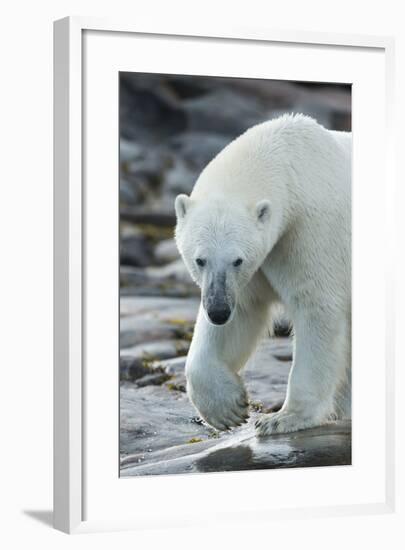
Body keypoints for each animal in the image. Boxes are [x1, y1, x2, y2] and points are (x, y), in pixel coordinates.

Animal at [174, 114, 350, 438]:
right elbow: (243, 312)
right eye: (200, 259)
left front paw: (282, 418)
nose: (217, 311)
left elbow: (316, 305)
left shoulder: (310, 233)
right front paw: (227, 409)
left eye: (237, 260)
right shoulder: (255, 269)